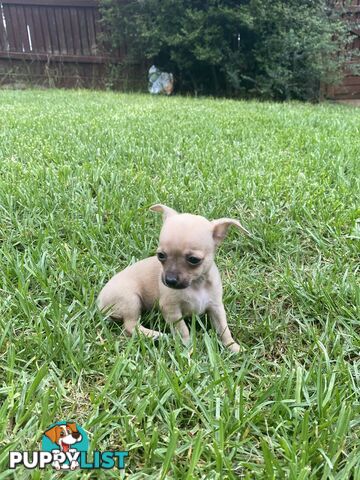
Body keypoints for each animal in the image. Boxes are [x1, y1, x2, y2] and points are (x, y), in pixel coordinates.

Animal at [98, 203, 250, 352]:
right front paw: (187, 348)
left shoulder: (216, 307)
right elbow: (183, 330)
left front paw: (233, 347)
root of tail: (99, 301)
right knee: (131, 326)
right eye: (161, 255)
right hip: (131, 300)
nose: (169, 280)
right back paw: (157, 335)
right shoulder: (171, 310)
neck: (196, 285)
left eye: (194, 260)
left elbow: (223, 329)